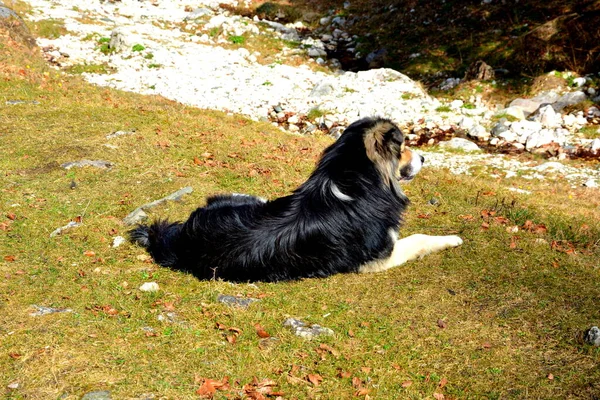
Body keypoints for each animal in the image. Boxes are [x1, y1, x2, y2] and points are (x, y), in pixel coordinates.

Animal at [129, 117, 462, 282]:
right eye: (403, 148)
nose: (423, 158)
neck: (355, 181)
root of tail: (181, 240)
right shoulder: (379, 257)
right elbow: (419, 239)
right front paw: (453, 239)